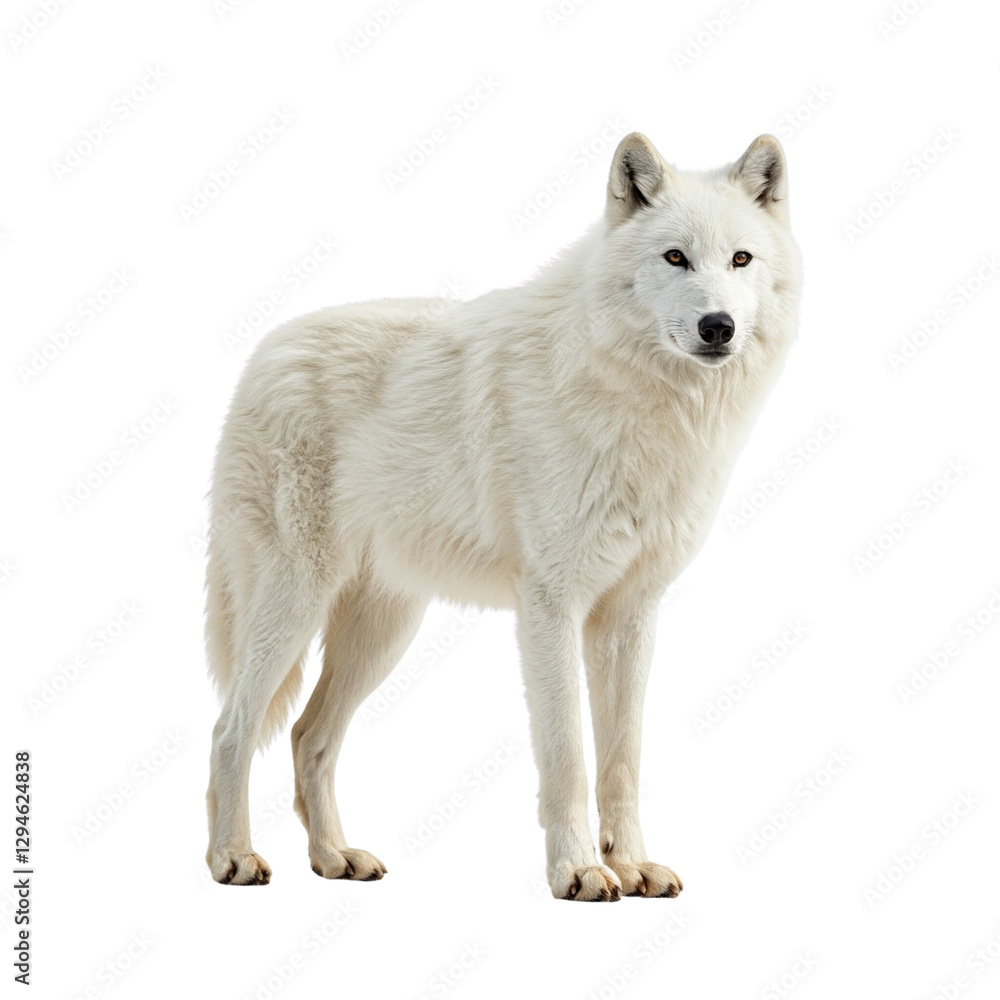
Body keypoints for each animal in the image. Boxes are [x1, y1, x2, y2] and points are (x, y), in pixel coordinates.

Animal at [204, 132, 802, 900]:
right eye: (675, 258)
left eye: (741, 259)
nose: (717, 327)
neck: (647, 407)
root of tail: (262, 355)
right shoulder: (550, 606)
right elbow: (568, 755)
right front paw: (578, 871)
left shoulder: (630, 615)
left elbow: (623, 760)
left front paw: (632, 865)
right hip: (294, 605)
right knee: (231, 729)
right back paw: (232, 858)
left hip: (383, 630)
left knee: (308, 736)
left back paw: (335, 857)